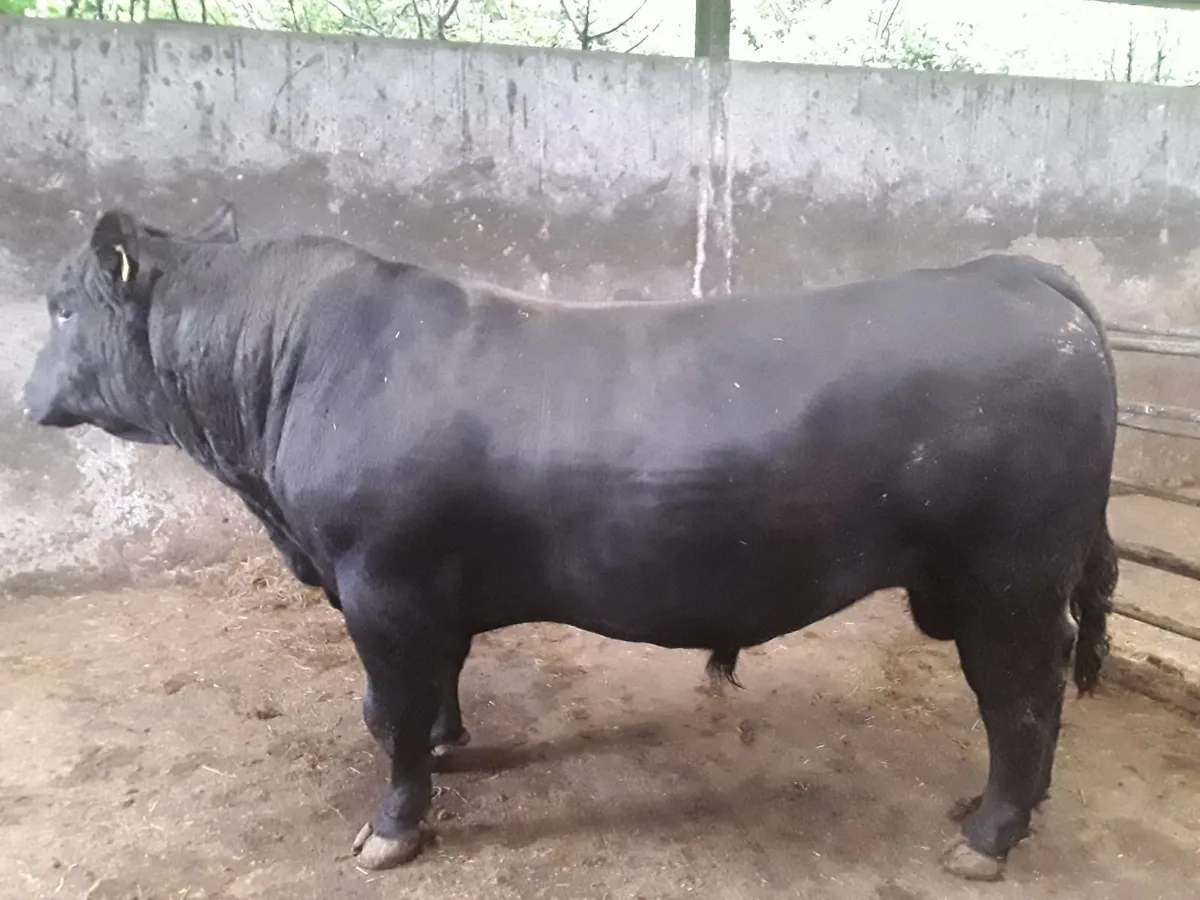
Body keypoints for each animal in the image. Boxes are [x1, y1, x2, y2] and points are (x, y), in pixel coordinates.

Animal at [22, 202, 1118, 882]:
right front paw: (451, 744)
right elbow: (435, 687)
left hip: (1007, 577)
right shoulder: (429, 594)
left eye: (61, 305)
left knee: (1021, 695)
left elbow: (389, 711)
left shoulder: (379, 586)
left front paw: (392, 829)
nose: (27, 397)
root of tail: (1013, 273)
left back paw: (990, 833)